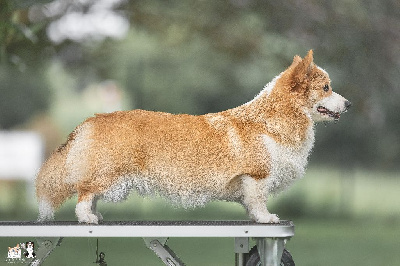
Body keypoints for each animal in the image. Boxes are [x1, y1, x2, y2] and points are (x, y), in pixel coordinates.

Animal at [36, 51, 350, 223]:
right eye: (326, 88)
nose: (348, 104)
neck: (272, 118)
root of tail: (90, 120)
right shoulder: (257, 175)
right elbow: (259, 201)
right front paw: (266, 219)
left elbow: (251, 203)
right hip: (109, 174)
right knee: (84, 194)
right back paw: (88, 218)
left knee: (89, 195)